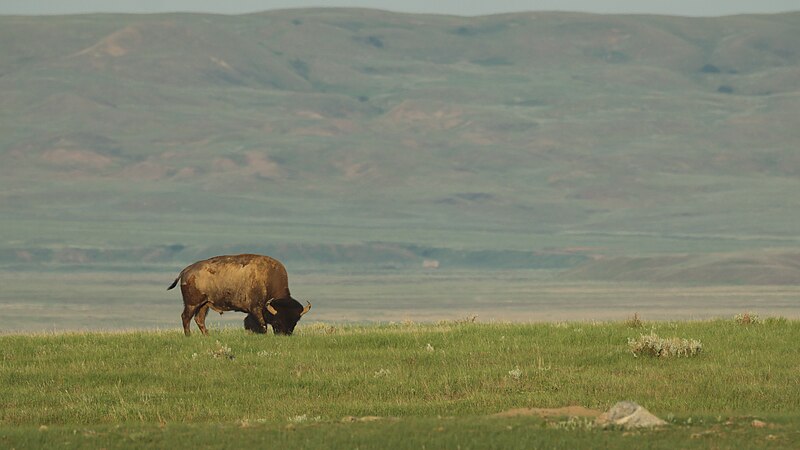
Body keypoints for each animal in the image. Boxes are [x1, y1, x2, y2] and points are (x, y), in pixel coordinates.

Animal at [166, 253, 310, 334]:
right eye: (277, 321)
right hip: (192, 304)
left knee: (199, 319)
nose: (285, 334)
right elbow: (262, 326)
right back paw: (188, 336)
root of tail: (186, 270)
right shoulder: (256, 309)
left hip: (204, 304)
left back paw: (207, 336)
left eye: (295, 322)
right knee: (186, 317)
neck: (268, 278)